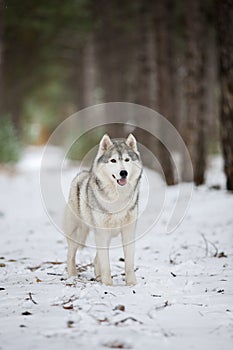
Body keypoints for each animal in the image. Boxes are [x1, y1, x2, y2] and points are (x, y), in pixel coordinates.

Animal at [64, 133, 142, 284]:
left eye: (127, 159)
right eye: (113, 160)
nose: (123, 173)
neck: (118, 197)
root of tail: (83, 174)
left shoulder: (128, 232)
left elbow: (129, 263)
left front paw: (132, 284)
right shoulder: (102, 232)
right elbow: (106, 264)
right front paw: (108, 285)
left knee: (96, 258)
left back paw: (98, 277)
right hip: (79, 233)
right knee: (70, 255)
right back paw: (72, 277)